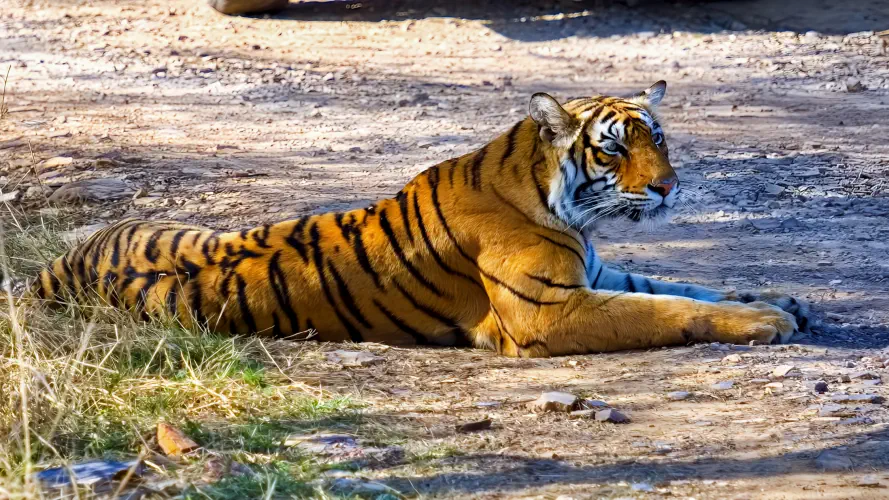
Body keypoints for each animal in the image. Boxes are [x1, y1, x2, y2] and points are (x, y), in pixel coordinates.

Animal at [31, 81, 811, 357]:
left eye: (661, 139)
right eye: (616, 148)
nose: (670, 187)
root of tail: (55, 267)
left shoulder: (591, 273)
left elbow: (678, 287)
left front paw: (780, 300)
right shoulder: (548, 313)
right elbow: (670, 310)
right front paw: (766, 321)